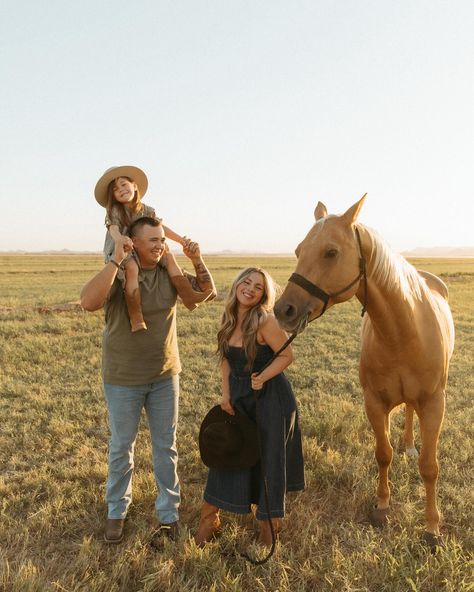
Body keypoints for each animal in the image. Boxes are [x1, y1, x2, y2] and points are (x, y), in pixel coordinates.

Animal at [274, 197, 456, 548]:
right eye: (298, 250)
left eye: (331, 252)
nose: (282, 310)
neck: (403, 332)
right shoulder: (374, 402)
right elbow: (383, 454)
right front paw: (383, 507)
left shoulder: (434, 404)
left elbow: (429, 467)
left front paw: (432, 528)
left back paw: (410, 445)